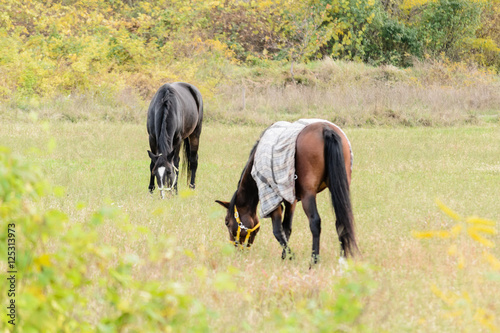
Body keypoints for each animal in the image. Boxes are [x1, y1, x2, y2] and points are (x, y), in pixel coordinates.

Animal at [217, 120, 358, 264]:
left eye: (227, 222)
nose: (235, 250)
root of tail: (326, 129)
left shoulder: (273, 199)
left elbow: (278, 231)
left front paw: (290, 256)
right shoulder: (291, 199)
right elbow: (287, 228)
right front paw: (284, 258)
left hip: (308, 195)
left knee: (315, 222)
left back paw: (314, 262)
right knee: (341, 221)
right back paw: (343, 259)